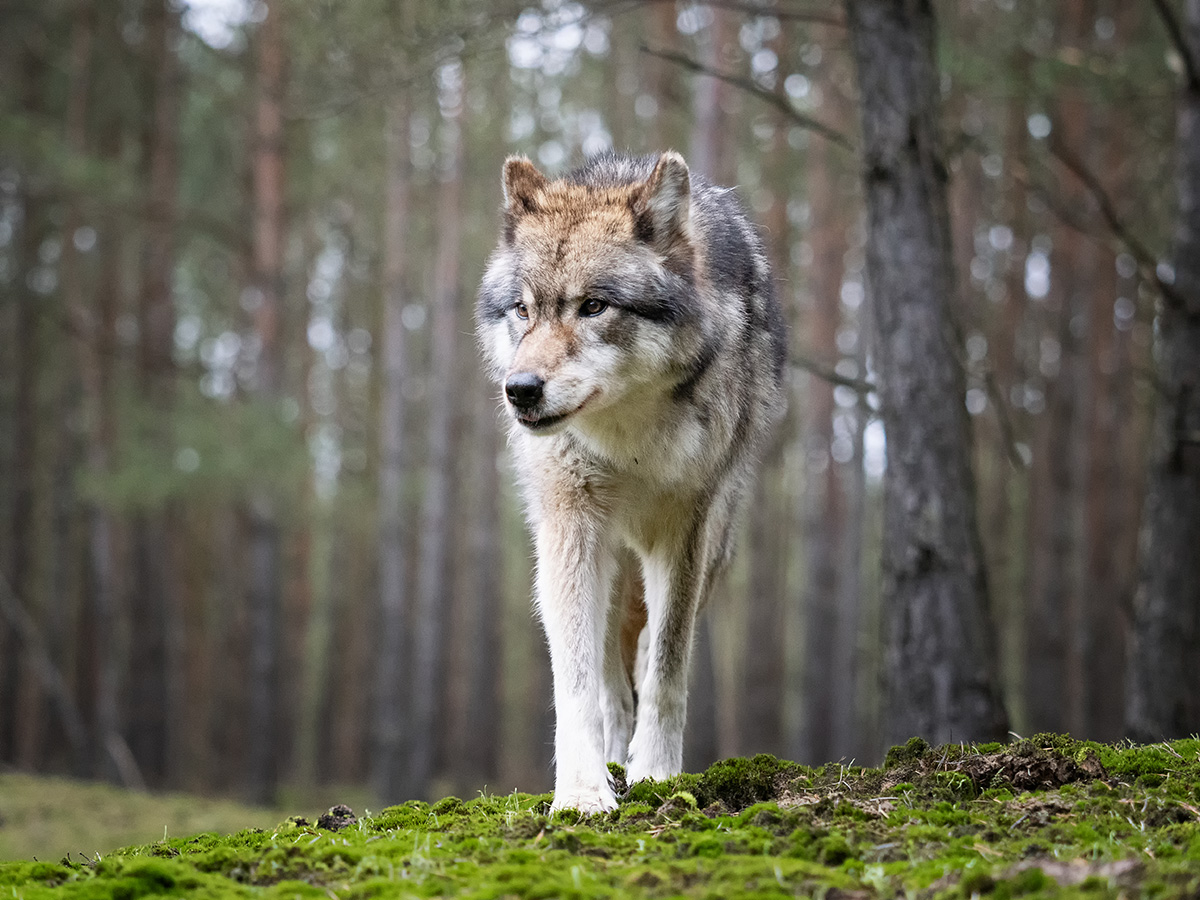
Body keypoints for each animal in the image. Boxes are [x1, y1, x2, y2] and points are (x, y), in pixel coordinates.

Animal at [477, 151, 787, 816]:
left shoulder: (685, 529)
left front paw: (659, 774)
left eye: (594, 307)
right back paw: (613, 758)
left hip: (707, 551)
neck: (629, 437)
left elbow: (668, 667)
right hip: (605, 558)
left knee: (646, 651)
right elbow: (576, 679)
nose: (520, 390)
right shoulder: (568, 523)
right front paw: (583, 792)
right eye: (524, 309)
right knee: (610, 679)